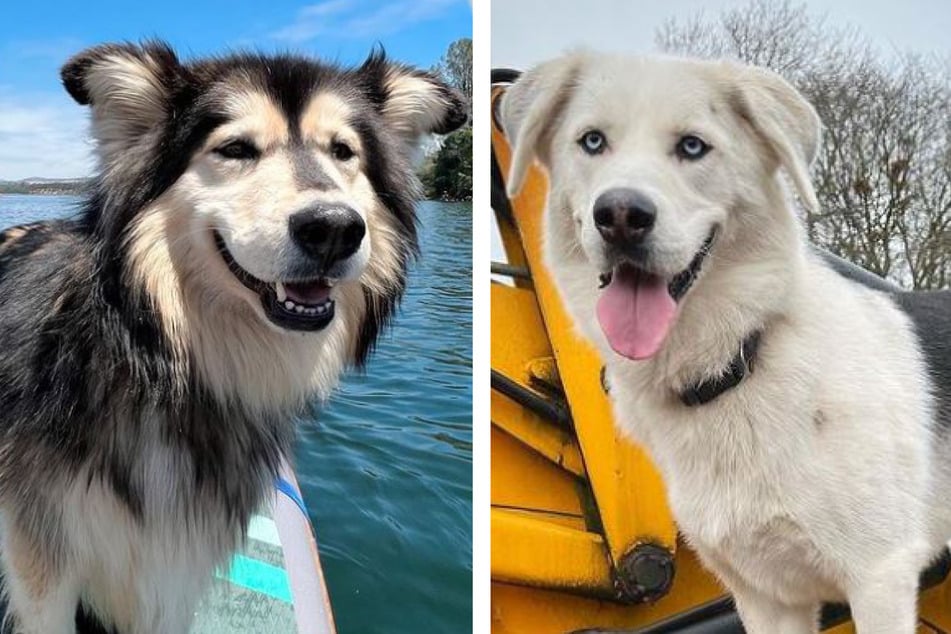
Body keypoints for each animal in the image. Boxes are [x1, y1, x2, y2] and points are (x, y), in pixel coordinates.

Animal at [0, 42, 464, 628]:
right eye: (236, 149)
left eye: (343, 151)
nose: (334, 229)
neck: (154, 358)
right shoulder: (42, 564)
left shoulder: (170, 566)